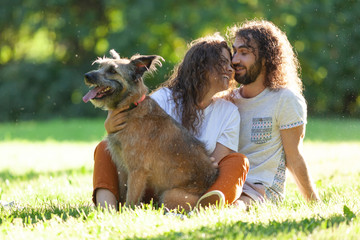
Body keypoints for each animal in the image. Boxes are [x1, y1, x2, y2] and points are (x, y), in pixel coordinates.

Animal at [83, 49, 218, 211]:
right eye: (100, 66)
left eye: (112, 71)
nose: (87, 76)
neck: (131, 107)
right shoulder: (122, 168)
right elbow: (122, 194)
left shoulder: (137, 171)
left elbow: (130, 199)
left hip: (169, 195)